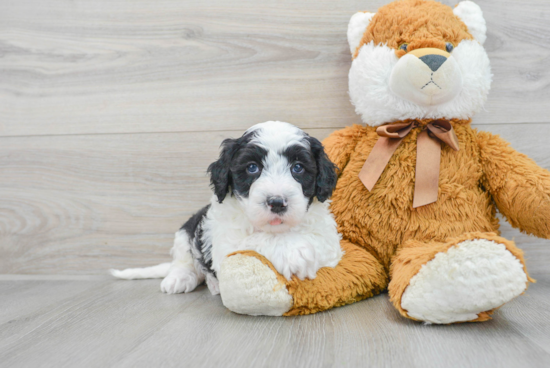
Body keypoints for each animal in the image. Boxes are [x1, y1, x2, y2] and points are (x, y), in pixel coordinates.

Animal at [111, 122, 342, 294]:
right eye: (252, 168)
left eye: (298, 168)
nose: (277, 202)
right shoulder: (225, 247)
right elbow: (252, 241)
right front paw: (291, 252)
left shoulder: (330, 243)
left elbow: (318, 244)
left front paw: (295, 250)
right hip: (188, 228)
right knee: (183, 258)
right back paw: (179, 278)